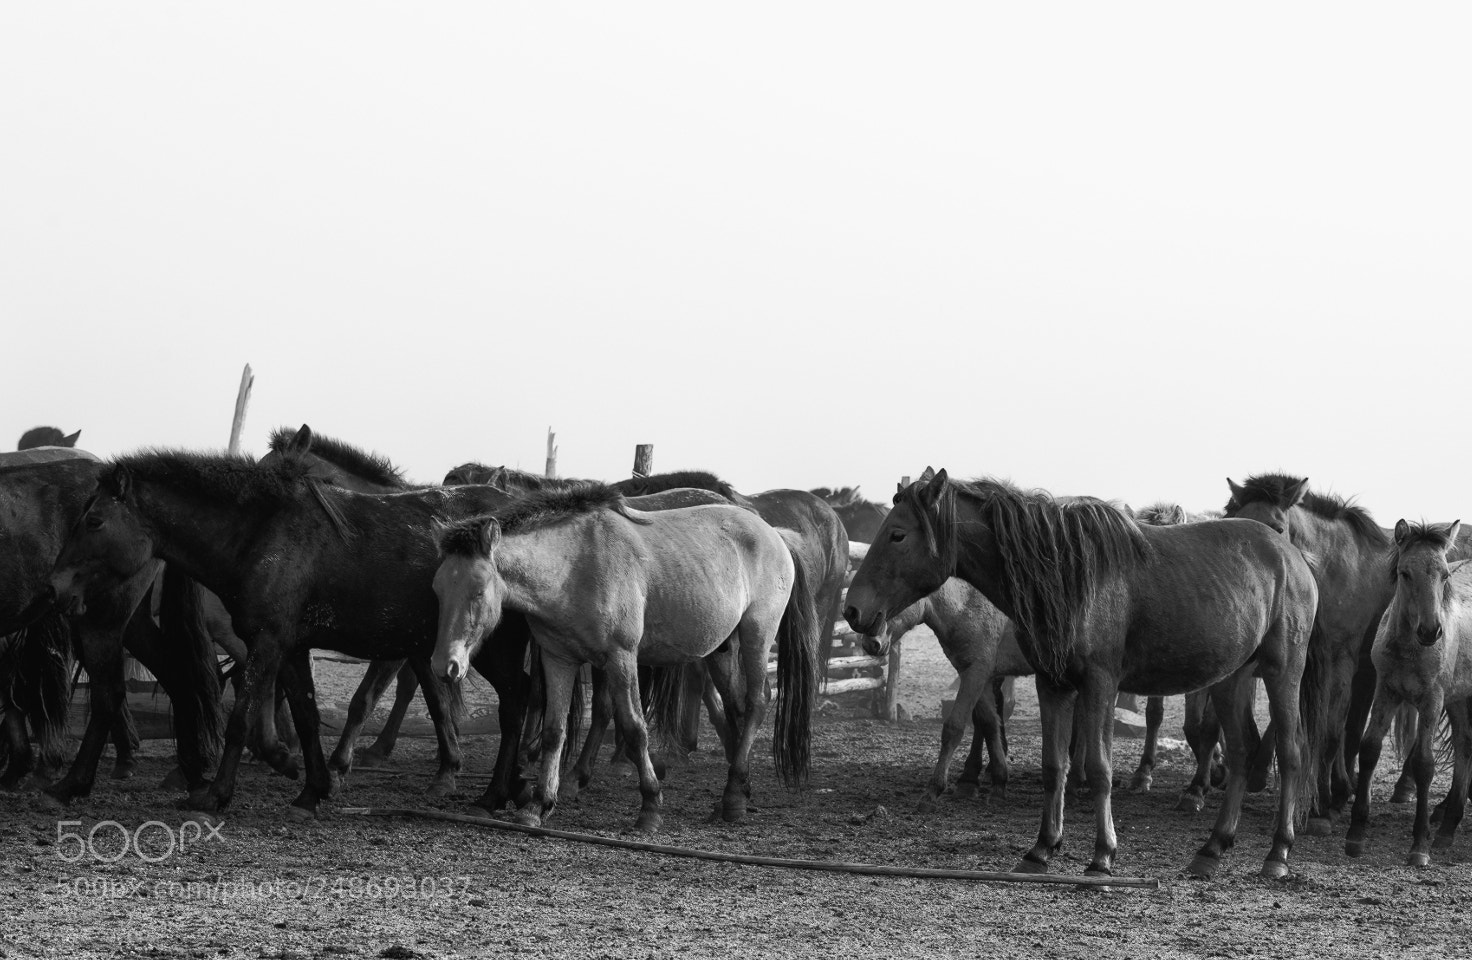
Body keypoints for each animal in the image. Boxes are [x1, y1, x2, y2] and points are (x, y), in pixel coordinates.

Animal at [48, 432, 536, 816]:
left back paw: (495, 793)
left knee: (516, 703)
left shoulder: (267, 642)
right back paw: (511, 788)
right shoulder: (291, 646)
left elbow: (242, 716)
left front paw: (216, 795)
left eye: (94, 520)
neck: (262, 534)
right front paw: (312, 789)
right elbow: (305, 714)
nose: (54, 587)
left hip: (492, 646)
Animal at [431, 483, 819, 833]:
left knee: (757, 701)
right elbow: (555, 731)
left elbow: (634, 728)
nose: (444, 666)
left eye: (478, 591)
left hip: (757, 634)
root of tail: (773, 533)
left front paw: (649, 810)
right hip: (722, 650)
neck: (573, 566)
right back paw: (737, 792)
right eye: (437, 589)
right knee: (737, 706)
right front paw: (538, 806)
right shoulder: (559, 659)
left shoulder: (621, 658)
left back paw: (733, 800)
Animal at [846, 470, 1322, 879]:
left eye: (897, 534)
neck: (1065, 575)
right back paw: (1212, 849)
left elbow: (1098, 768)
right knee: (1241, 752)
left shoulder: (1099, 684)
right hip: (1232, 680)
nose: (853, 610)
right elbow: (1054, 765)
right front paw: (1041, 848)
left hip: (1283, 673)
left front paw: (1102, 856)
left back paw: (1278, 854)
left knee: (1291, 754)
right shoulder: (1051, 684)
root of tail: (1292, 557)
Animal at [1345, 520, 1472, 866]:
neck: (1409, 648)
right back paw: (1447, 828)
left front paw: (1419, 845)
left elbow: (1424, 763)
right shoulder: (1386, 691)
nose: (1431, 631)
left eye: (1445, 574)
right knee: (1465, 745)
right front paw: (1355, 835)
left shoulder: (1432, 701)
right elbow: (1370, 748)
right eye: (1405, 573)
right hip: (1460, 700)